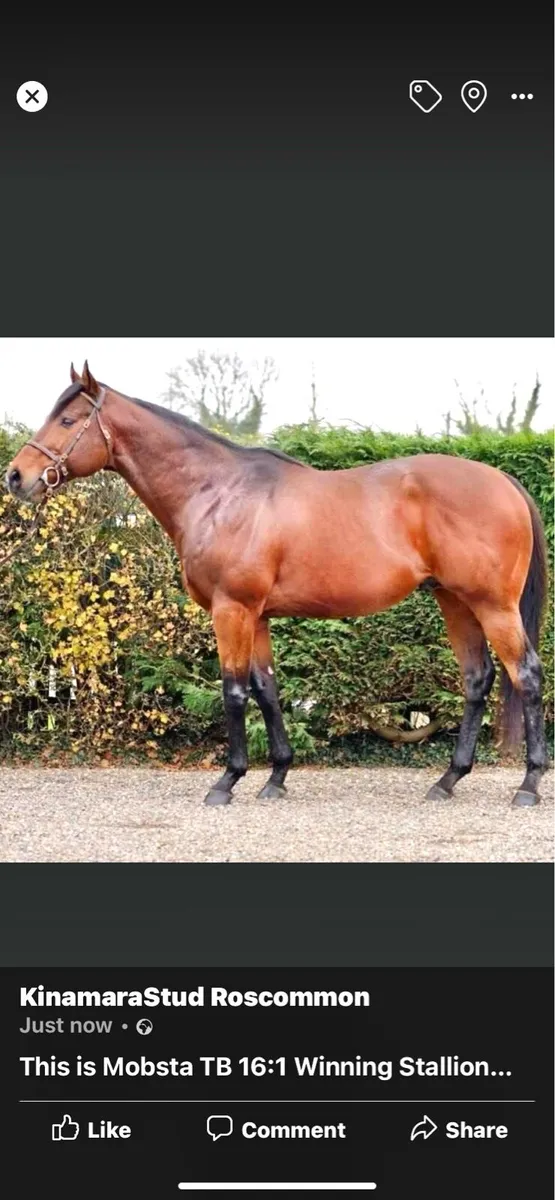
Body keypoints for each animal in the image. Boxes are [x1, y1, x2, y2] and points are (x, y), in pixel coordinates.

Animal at [5, 362, 549, 808]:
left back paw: (528, 785)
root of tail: (503, 480)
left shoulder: (232, 609)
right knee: (477, 679)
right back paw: (448, 780)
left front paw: (227, 781)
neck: (218, 493)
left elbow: (233, 690)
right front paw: (276, 777)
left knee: (526, 675)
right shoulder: (258, 615)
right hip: (455, 601)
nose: (16, 477)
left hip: (493, 606)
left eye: (68, 421)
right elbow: (266, 688)